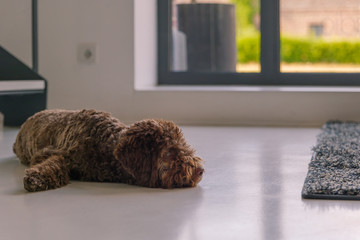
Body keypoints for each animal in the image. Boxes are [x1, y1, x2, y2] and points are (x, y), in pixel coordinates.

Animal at [12, 109, 204, 192]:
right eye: (171, 150)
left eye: (183, 144)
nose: (200, 170)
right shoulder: (48, 152)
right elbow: (53, 163)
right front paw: (37, 178)